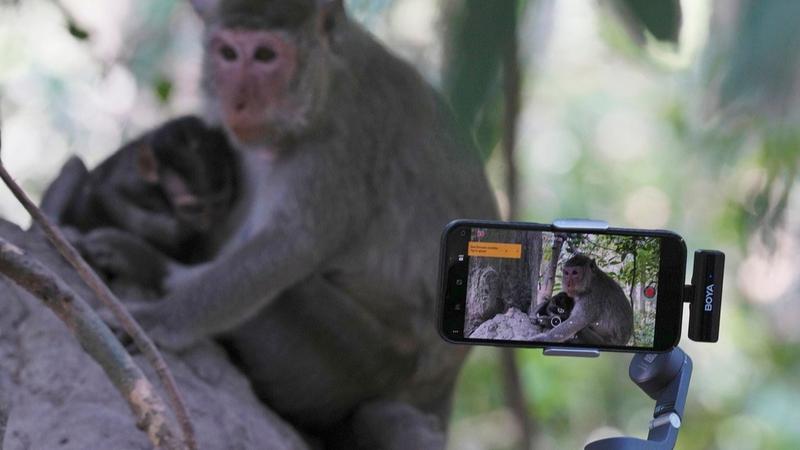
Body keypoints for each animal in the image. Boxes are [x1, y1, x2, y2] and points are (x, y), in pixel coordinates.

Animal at [79, 0, 494, 444]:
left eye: (265, 55)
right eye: (228, 53)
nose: (237, 103)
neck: (325, 82)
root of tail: (443, 387)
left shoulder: (345, 137)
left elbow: (290, 246)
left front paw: (156, 320)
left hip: (364, 360)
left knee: (293, 292)